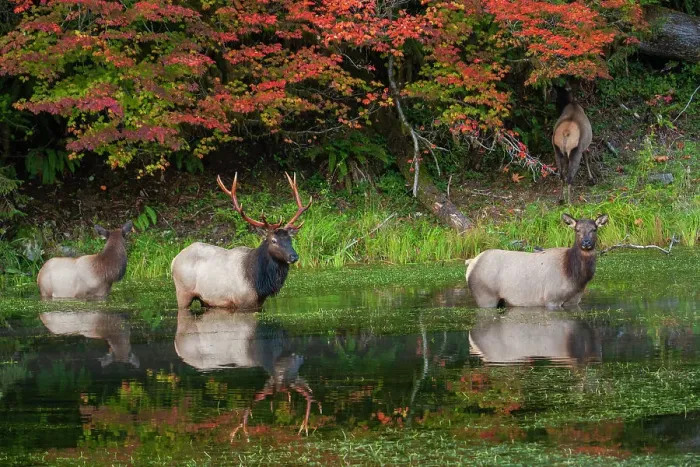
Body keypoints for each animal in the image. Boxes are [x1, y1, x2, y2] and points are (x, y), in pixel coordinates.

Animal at [171, 172, 311, 310]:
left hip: (205, 300)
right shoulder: (242, 302)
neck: (259, 284)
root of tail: (174, 260)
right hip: (183, 292)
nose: (294, 256)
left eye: (290, 239)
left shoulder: (257, 304)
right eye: (273, 240)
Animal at [464, 213, 608, 309]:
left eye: (594, 229)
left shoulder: (574, 300)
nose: (586, 242)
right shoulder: (551, 298)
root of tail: (471, 263)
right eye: (577, 230)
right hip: (484, 295)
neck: (575, 277)